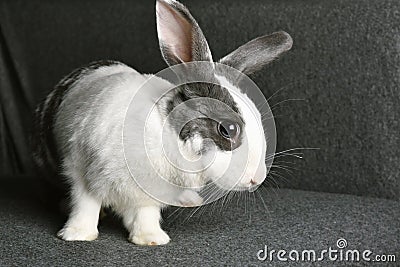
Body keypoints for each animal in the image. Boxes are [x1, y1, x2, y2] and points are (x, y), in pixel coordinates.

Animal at [32, 0, 292, 246]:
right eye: (228, 129)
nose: (257, 178)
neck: (164, 131)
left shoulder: (148, 194)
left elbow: (145, 214)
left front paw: (151, 239)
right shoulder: (79, 167)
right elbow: (85, 204)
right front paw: (77, 235)